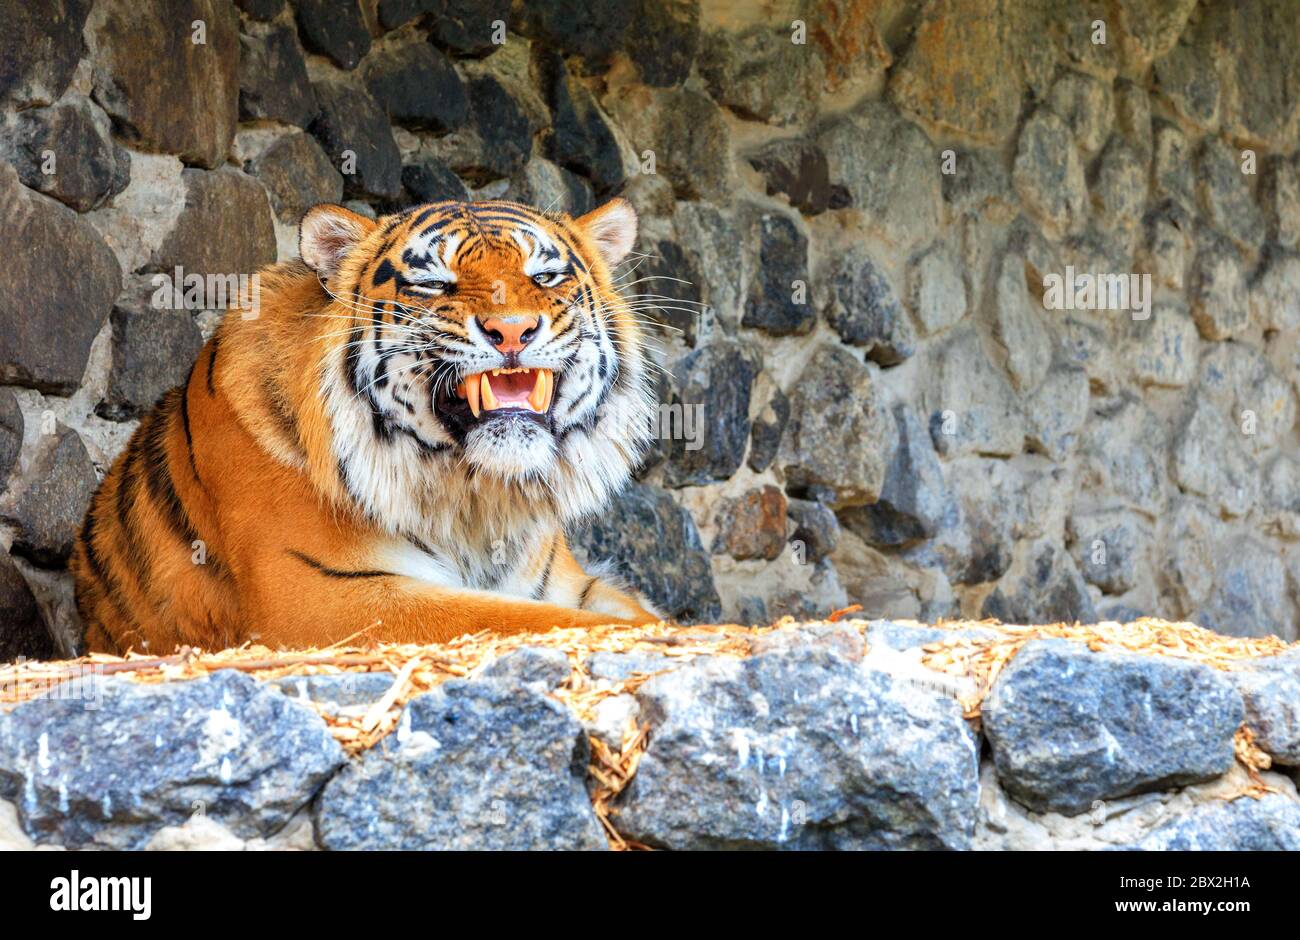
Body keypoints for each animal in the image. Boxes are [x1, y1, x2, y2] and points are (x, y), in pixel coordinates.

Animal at [67, 198, 665, 655]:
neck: (476, 497)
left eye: (545, 276)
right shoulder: (329, 596)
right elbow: (527, 620)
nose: (514, 330)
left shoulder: (568, 582)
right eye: (434, 283)